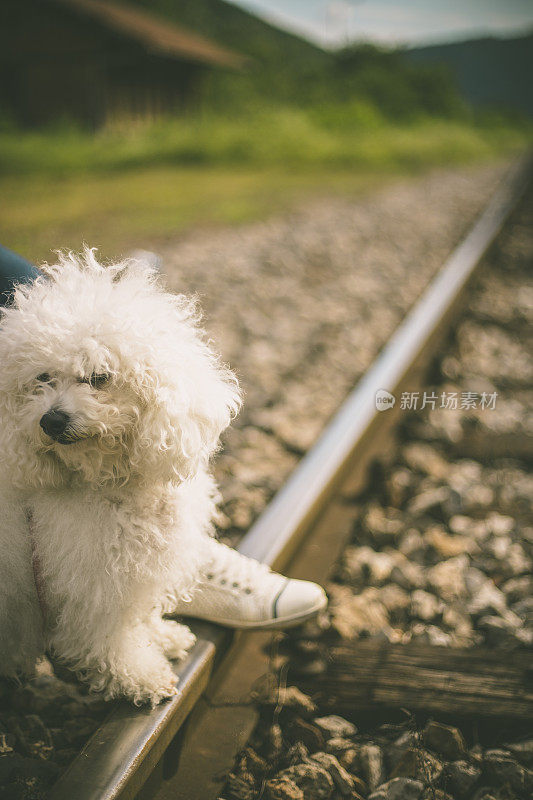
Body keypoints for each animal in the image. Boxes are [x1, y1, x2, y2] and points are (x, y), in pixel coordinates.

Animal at [0, 248, 239, 700]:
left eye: (99, 377)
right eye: (43, 378)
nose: (50, 421)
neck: (111, 485)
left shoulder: (132, 572)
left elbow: (137, 616)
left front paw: (160, 637)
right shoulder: (91, 586)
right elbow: (107, 641)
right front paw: (139, 675)